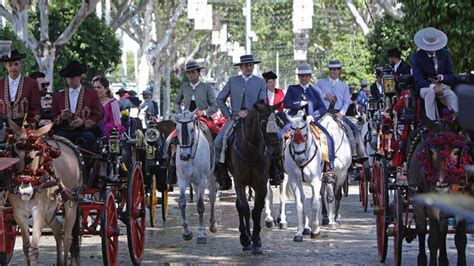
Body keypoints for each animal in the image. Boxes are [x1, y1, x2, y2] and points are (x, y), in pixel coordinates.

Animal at [175, 110, 218, 243]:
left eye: (192, 129)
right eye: (177, 129)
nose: (184, 155)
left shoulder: (203, 179)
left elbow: (200, 205)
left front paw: (201, 233)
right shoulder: (182, 179)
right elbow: (182, 202)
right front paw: (186, 232)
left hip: (211, 177)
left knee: (212, 197)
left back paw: (212, 224)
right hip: (194, 182)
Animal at [228, 102, 284, 254]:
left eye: (278, 122)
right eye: (264, 122)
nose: (277, 151)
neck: (250, 152)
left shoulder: (261, 184)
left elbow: (257, 210)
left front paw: (257, 241)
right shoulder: (239, 182)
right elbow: (245, 209)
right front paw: (246, 239)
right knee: (241, 207)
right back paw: (246, 238)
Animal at [284, 111, 324, 242]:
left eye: (305, 135)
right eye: (291, 136)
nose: (299, 159)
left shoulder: (316, 180)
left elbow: (315, 203)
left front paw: (315, 229)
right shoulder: (293, 180)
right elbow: (299, 204)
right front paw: (299, 232)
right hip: (300, 181)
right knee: (303, 197)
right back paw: (305, 227)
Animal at [408, 128, 470, 264]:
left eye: (456, 152)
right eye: (431, 152)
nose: (442, 183)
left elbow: (460, 239)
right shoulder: (432, 207)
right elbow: (433, 240)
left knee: (443, 231)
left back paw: (443, 259)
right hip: (417, 203)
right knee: (421, 230)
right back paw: (422, 259)